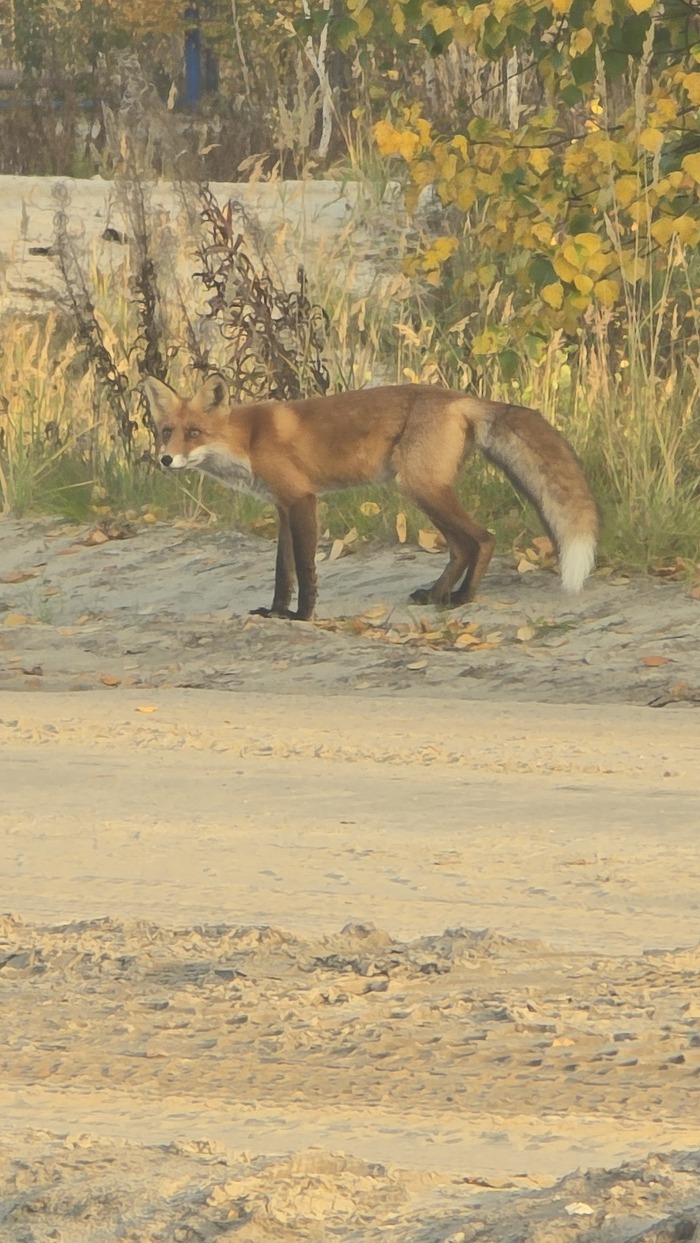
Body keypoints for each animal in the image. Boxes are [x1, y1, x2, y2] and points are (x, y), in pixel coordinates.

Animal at [143, 374, 598, 621]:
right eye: (166, 431)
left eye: (194, 433)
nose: (165, 459)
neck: (248, 440)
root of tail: (463, 398)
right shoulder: (283, 507)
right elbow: (282, 572)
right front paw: (275, 613)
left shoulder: (302, 499)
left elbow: (305, 569)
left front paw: (303, 616)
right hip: (423, 492)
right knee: (461, 548)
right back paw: (436, 595)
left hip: (421, 487)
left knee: (483, 539)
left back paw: (463, 598)